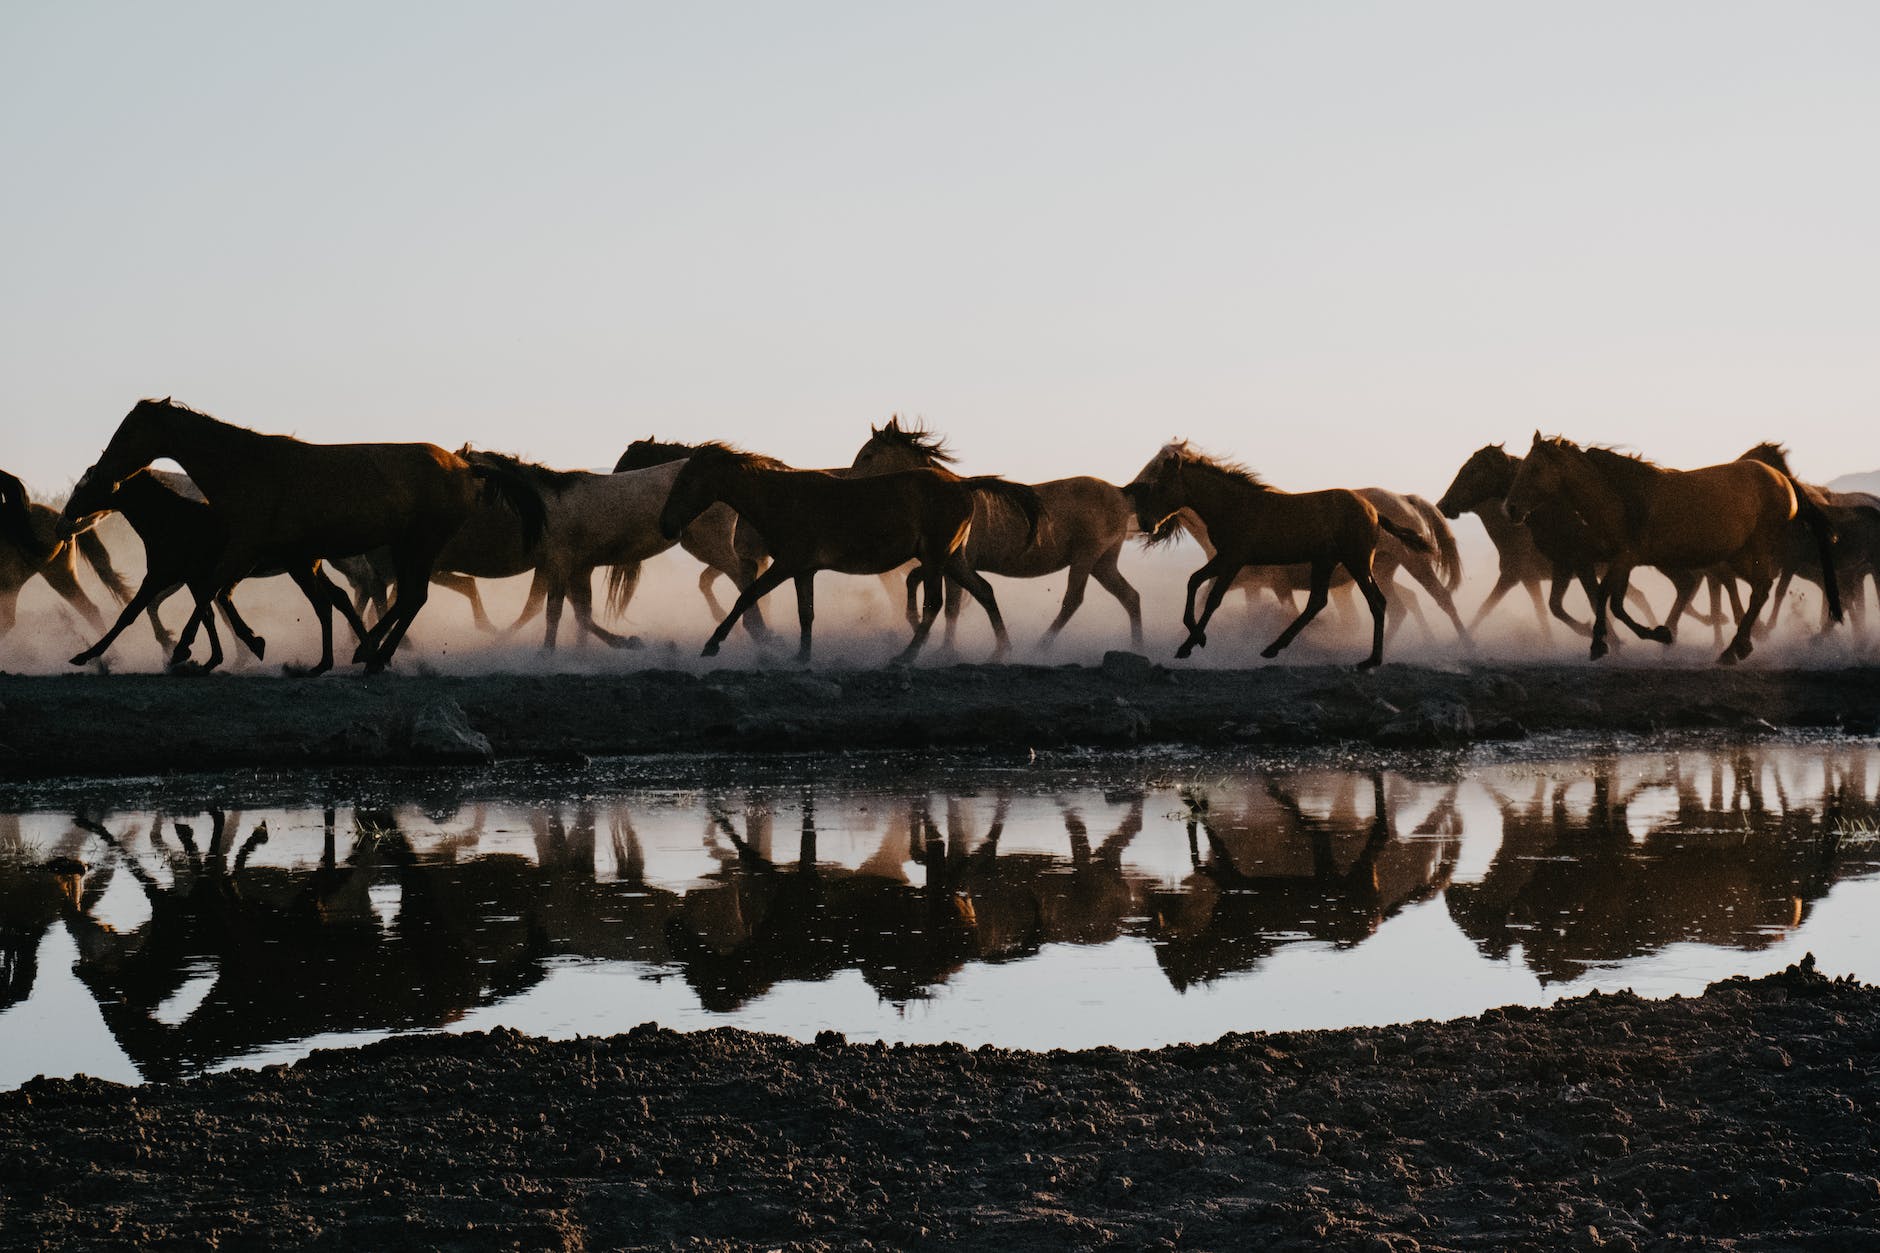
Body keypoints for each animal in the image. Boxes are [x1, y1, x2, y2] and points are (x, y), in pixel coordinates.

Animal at [58, 400, 545, 673]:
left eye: (129, 429)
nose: (102, 469)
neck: (244, 467)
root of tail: (465, 466)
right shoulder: (243, 552)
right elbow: (211, 594)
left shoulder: (242, 547)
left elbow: (209, 593)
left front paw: (189, 650)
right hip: (407, 547)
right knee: (405, 598)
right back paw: (369, 652)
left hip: (420, 543)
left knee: (409, 598)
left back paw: (372, 654)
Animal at [658, 445, 1045, 669]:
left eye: (687, 481)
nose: (666, 526)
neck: (781, 500)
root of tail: (963, 483)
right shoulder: (803, 569)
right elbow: (806, 614)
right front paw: (801, 657)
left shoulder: (787, 564)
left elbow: (747, 597)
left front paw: (712, 645)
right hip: (952, 558)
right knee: (984, 592)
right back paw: (1001, 652)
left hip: (936, 557)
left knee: (935, 603)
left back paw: (905, 657)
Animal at [853, 421, 1143, 654]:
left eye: (868, 455)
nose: (851, 482)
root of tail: (1121, 493)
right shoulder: (944, 564)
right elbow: (924, 588)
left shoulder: (954, 565)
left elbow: (950, 608)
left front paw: (946, 650)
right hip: (1102, 563)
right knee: (1130, 596)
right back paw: (1137, 647)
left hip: (1086, 559)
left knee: (1073, 600)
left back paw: (1040, 647)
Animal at [1120, 442, 1428, 669]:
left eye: (1161, 486)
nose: (1146, 523)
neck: (1233, 505)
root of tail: (1373, 511)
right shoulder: (1225, 558)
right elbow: (1194, 582)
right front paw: (1196, 640)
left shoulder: (1234, 560)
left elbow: (1213, 599)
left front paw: (1189, 645)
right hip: (1326, 561)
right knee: (1318, 602)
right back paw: (1273, 648)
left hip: (1357, 561)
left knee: (1377, 602)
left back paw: (1371, 660)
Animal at [1504, 432, 1842, 662]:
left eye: (1535, 468)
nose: (1511, 508)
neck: (1621, 498)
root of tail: (1783, 480)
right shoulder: (1618, 560)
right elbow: (1609, 599)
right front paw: (1609, 642)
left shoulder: (1626, 558)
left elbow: (1613, 601)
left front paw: (1653, 635)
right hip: (1739, 555)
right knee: (1761, 588)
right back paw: (1739, 646)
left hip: (1752, 549)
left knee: (1760, 589)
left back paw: (1732, 650)